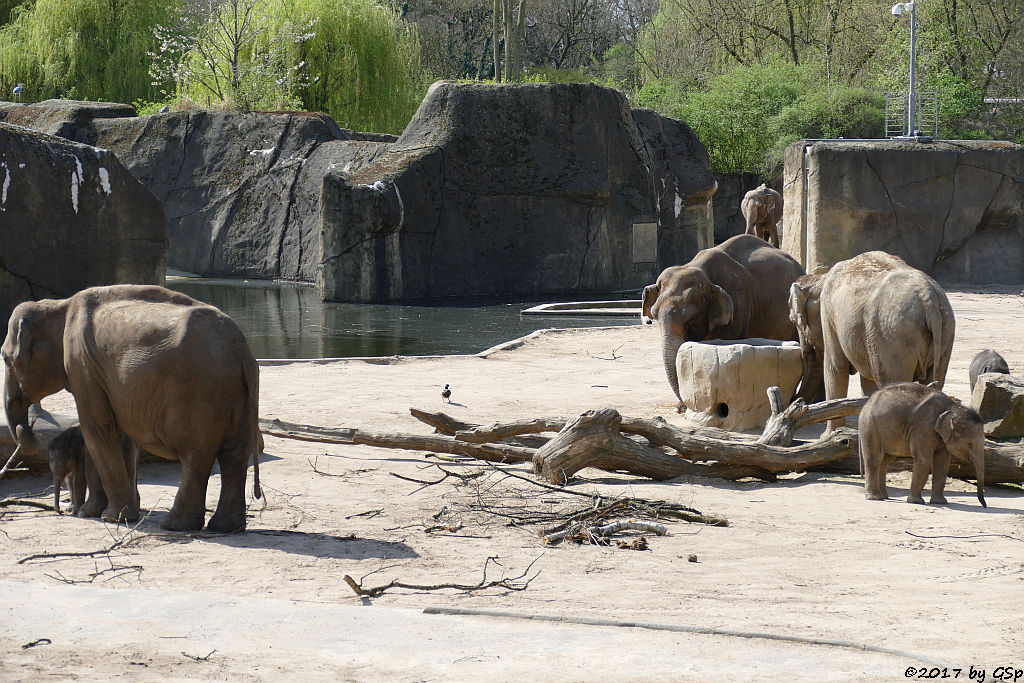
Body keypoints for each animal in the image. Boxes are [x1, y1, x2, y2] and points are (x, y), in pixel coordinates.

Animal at [4, 286, 260, 532]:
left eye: (6, 359)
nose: (29, 431)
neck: (57, 307)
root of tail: (241, 351)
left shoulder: (82, 367)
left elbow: (96, 430)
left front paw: (105, 516)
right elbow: (120, 437)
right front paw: (115, 513)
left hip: (200, 393)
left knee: (195, 455)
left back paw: (174, 525)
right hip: (237, 393)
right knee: (234, 454)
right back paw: (226, 528)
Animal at [786, 250, 954, 432]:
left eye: (793, 320)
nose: (796, 402)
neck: (820, 279)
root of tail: (929, 298)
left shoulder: (828, 314)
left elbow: (835, 366)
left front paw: (830, 435)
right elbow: (867, 381)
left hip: (893, 336)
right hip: (945, 331)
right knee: (933, 381)